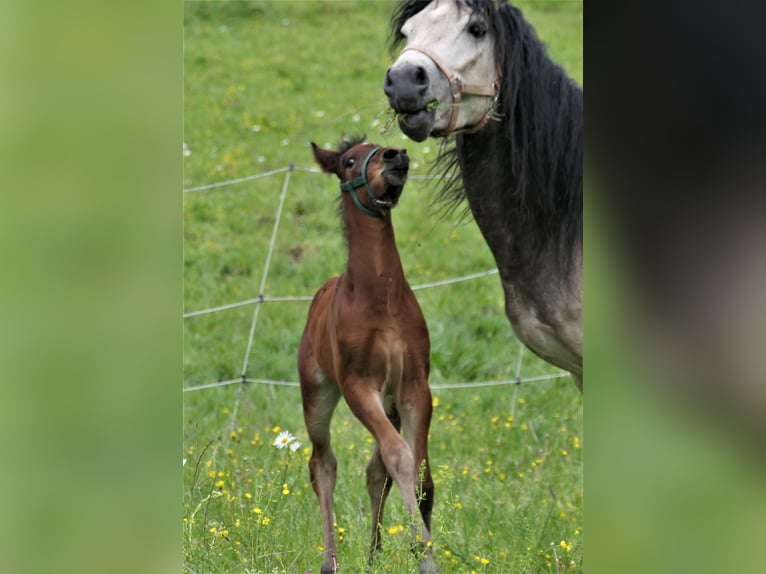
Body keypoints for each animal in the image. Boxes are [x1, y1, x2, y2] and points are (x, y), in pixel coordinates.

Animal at [296, 140, 438, 574]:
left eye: (376, 146)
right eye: (348, 161)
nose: (395, 155)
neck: (381, 300)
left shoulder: (414, 387)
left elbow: (420, 477)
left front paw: (417, 550)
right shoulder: (358, 387)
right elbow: (400, 458)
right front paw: (425, 555)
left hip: (390, 403)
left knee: (375, 470)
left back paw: (374, 556)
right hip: (317, 394)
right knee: (322, 464)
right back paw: (330, 562)